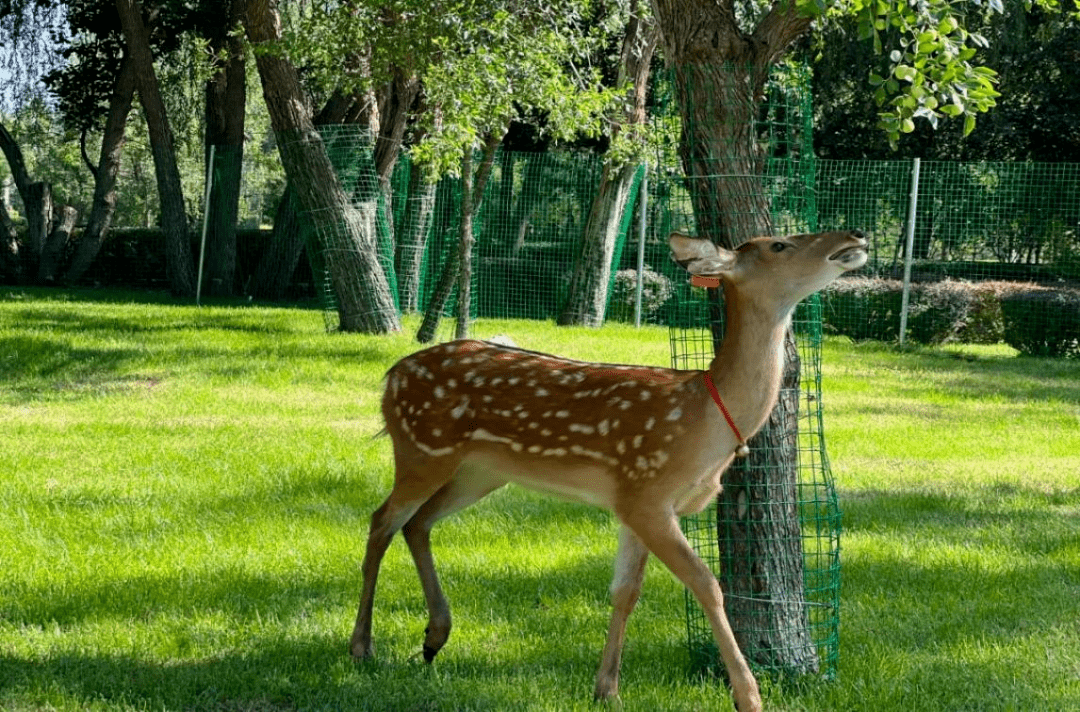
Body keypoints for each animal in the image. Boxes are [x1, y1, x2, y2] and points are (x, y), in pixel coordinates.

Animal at [352, 230, 868, 712]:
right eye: (779, 244)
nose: (856, 236)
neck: (705, 422)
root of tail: (389, 378)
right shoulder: (648, 493)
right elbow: (707, 583)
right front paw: (749, 695)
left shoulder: (631, 501)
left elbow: (625, 591)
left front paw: (607, 689)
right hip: (422, 448)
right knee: (382, 521)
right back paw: (363, 646)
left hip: (479, 471)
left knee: (417, 522)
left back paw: (434, 637)